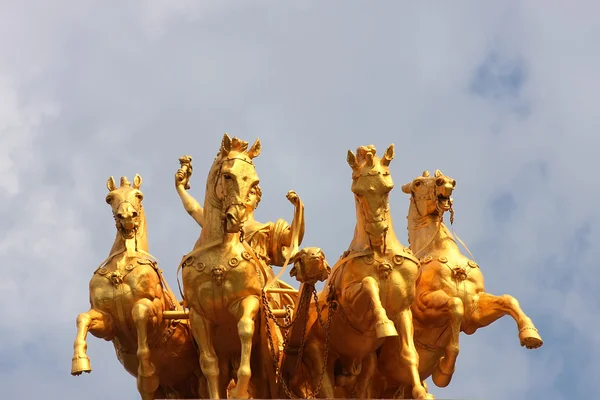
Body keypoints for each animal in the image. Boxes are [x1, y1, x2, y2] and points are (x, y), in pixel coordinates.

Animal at [71, 175, 204, 400]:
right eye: (110, 198)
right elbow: (83, 318)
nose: (126, 217)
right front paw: (79, 361)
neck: (122, 266)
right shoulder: (107, 321)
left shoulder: (155, 309)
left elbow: (139, 312)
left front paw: (146, 372)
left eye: (139, 195)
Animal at [180, 135, 282, 400]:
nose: (235, 219)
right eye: (227, 176)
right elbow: (209, 364)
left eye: (254, 182)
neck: (220, 253)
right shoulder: (199, 315)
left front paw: (240, 390)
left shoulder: (247, 300)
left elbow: (245, 329)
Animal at [302, 145, 428, 398]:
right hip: (318, 358)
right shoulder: (351, 307)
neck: (380, 255)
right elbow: (369, 283)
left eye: (387, 187)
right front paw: (383, 324)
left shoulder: (403, 309)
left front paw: (421, 392)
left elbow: (410, 354)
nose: (377, 231)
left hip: (366, 364)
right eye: (357, 191)